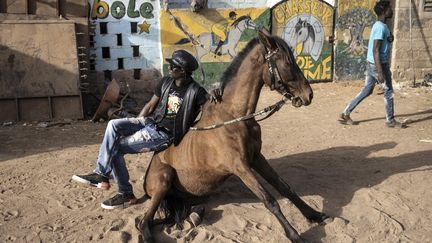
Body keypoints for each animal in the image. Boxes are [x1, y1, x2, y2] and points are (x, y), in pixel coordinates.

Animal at [137, 29, 330, 242]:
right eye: (288, 62)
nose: (308, 95)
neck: (236, 117)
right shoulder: (240, 166)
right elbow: (270, 200)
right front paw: (294, 234)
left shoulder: (256, 158)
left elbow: (285, 187)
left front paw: (314, 214)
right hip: (162, 182)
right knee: (143, 221)